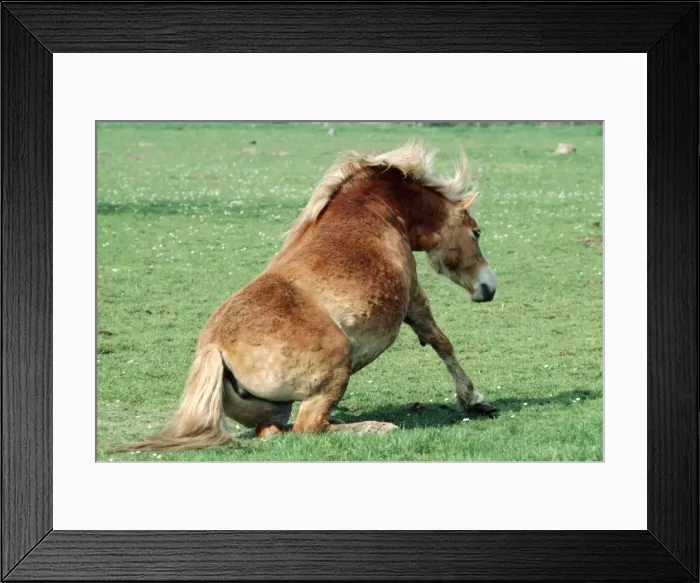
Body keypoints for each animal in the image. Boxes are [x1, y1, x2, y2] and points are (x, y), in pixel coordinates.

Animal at [116, 141, 498, 452]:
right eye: (476, 232)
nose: (488, 287)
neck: (376, 210)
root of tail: (215, 349)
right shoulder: (414, 299)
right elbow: (440, 341)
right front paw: (474, 399)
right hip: (337, 365)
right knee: (308, 428)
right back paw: (376, 427)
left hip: (275, 409)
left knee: (274, 432)